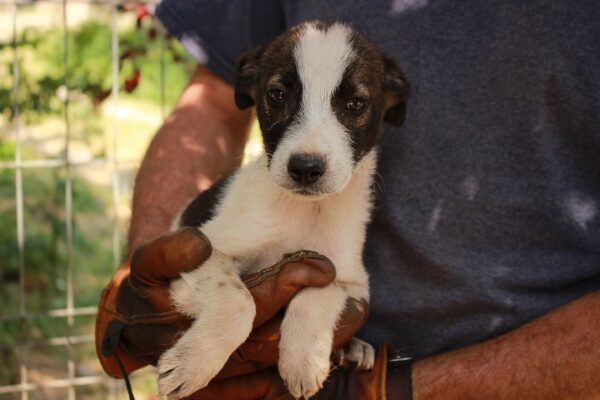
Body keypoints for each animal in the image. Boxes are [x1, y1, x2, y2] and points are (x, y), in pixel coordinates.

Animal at [157, 21, 408, 400]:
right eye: (276, 94)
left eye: (355, 103)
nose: (305, 168)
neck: (305, 211)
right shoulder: (205, 249)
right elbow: (239, 301)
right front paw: (193, 363)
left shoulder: (351, 280)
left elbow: (320, 290)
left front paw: (303, 360)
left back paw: (353, 349)